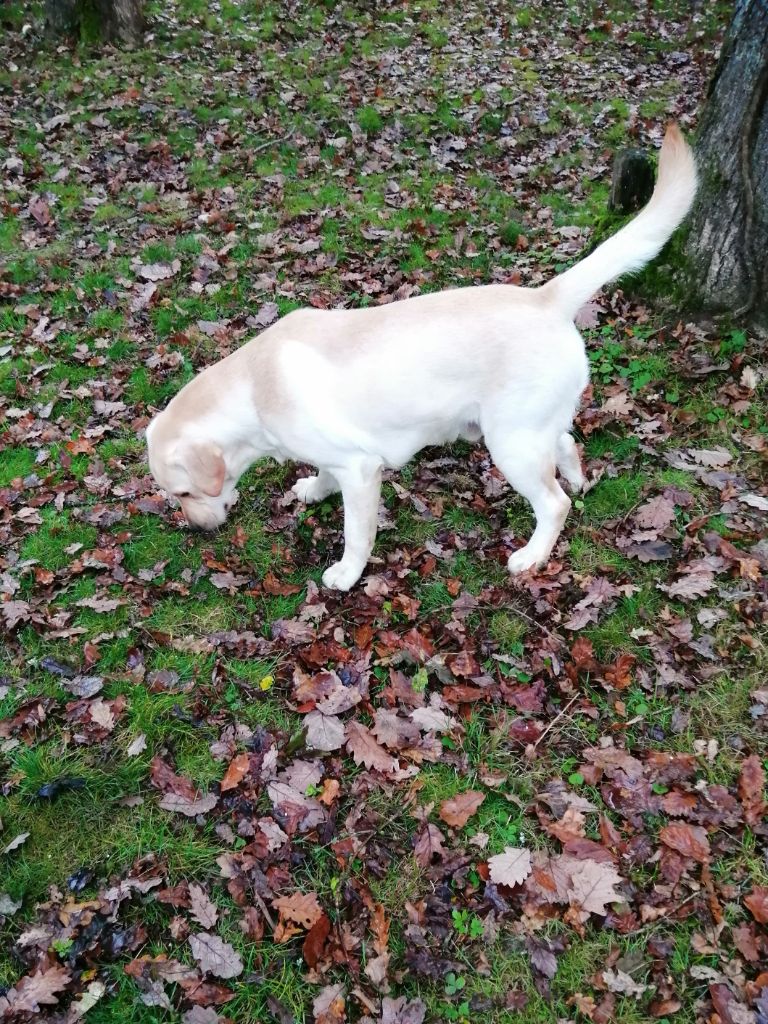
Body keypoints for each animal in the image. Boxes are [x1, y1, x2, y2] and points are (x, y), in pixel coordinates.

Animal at [147, 125, 700, 593]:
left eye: (183, 495)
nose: (196, 532)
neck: (252, 389)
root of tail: (546, 297)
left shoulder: (361, 470)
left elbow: (358, 534)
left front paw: (346, 574)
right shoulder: (335, 457)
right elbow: (322, 474)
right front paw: (312, 489)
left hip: (511, 443)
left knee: (554, 503)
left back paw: (532, 555)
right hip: (529, 427)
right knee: (566, 444)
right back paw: (580, 479)